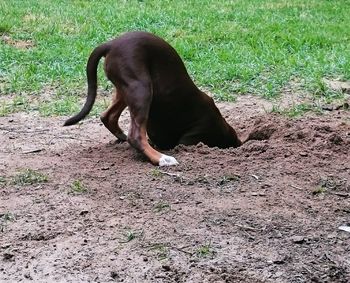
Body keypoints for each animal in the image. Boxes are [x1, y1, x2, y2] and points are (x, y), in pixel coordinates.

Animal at [64, 31, 242, 166]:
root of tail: (111, 44)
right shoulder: (195, 134)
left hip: (125, 89)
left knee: (108, 116)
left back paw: (125, 139)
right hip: (141, 88)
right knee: (135, 136)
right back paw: (162, 159)